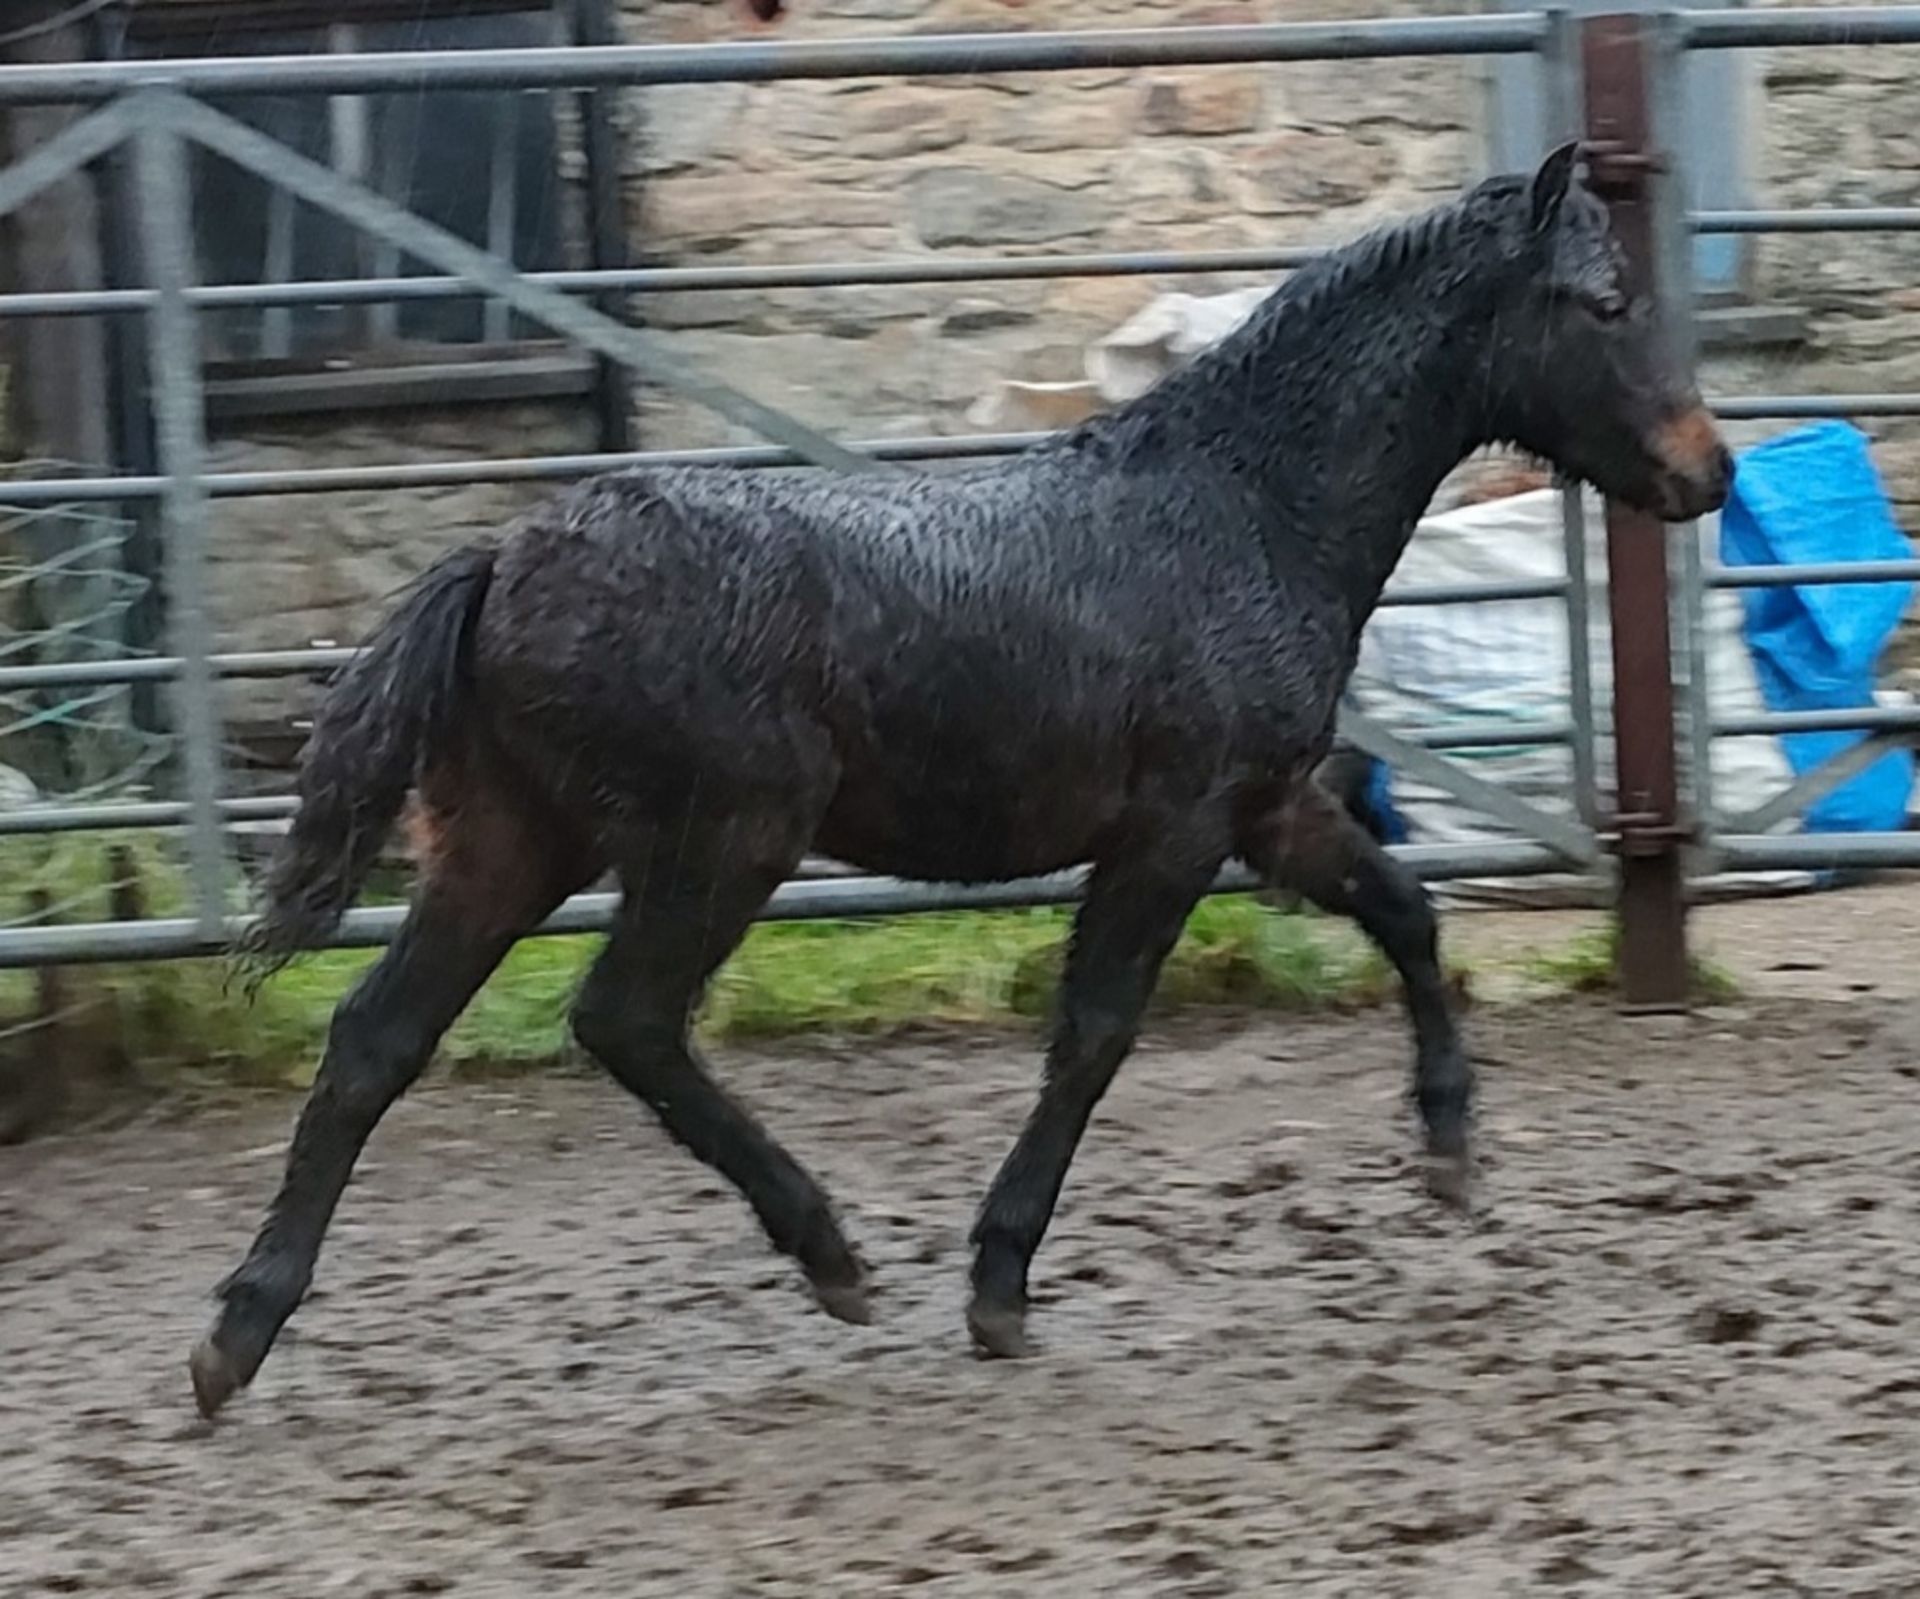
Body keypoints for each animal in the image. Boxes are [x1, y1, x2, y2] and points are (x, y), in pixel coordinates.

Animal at [187, 146, 1735, 1412]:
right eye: (1602, 303)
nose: (1707, 473)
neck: (1237, 510)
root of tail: (506, 559)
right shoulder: (1174, 827)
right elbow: (1095, 1034)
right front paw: (997, 1284)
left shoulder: (1266, 806)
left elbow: (1407, 911)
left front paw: (1452, 1152)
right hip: (723, 836)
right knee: (624, 1019)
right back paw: (828, 1252)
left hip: (515, 840)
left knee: (376, 1042)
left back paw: (233, 1339)